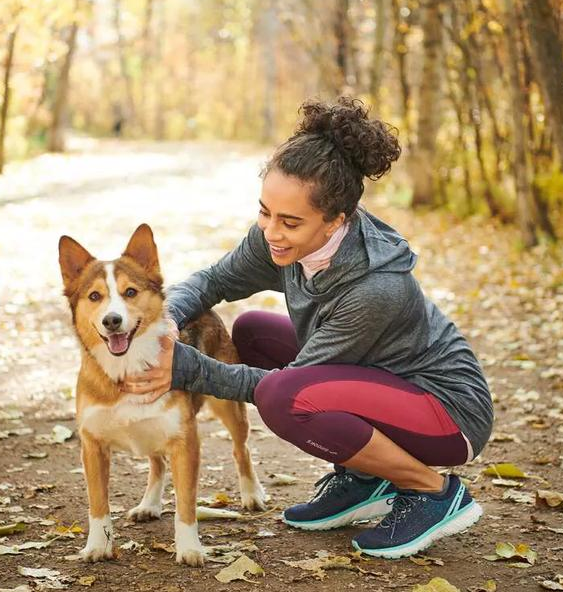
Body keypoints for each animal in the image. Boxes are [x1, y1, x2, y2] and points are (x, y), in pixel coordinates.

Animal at [57, 224, 266, 568]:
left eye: (130, 292)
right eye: (95, 296)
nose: (111, 321)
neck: (126, 369)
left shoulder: (186, 441)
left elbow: (186, 505)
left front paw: (190, 548)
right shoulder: (92, 446)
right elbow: (97, 504)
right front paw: (98, 546)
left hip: (229, 409)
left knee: (241, 449)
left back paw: (252, 493)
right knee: (157, 463)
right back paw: (149, 504)